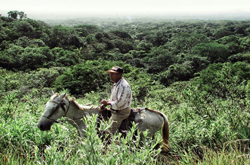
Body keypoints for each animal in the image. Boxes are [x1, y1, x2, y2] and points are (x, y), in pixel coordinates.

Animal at [37, 91, 170, 151]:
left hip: (145, 138)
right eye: (45, 105)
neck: (84, 117)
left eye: (54, 108)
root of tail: (157, 113)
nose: (40, 126)